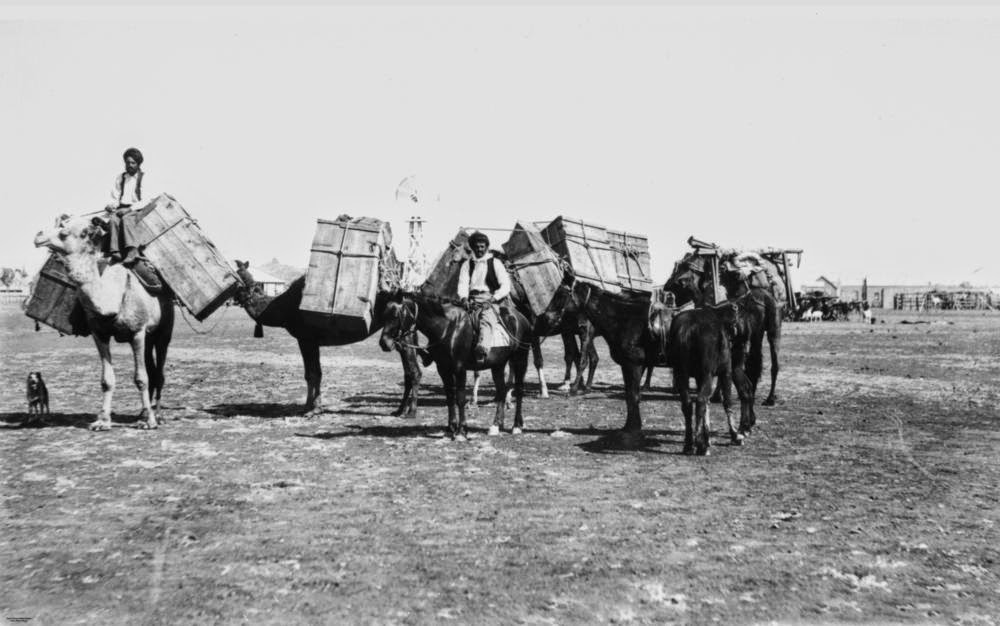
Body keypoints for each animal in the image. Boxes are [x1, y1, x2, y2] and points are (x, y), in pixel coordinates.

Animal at [32, 214, 174, 428]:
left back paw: (156, 415)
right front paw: (103, 420)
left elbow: (141, 378)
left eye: (70, 232)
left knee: (159, 373)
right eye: (61, 224)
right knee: (152, 367)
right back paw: (142, 412)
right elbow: (107, 380)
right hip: (149, 336)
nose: (39, 236)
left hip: (163, 331)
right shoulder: (100, 334)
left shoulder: (137, 332)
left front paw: (149, 422)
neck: (110, 298)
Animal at [235, 260, 422, 416]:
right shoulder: (312, 342)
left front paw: (311, 409)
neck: (281, 307)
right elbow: (315, 373)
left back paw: (410, 412)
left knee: (413, 371)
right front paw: (312, 407)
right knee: (411, 372)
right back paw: (401, 410)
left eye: (235, 277)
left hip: (401, 335)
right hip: (403, 336)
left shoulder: (306, 339)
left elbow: (312, 374)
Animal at [376, 292, 532, 438]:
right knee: (501, 390)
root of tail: (520, 318)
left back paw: (517, 426)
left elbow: (460, 398)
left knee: (519, 390)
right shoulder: (443, 369)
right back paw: (496, 425)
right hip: (498, 365)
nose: (384, 343)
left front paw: (461, 431)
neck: (449, 328)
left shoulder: (459, 368)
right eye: (384, 315)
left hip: (520, 359)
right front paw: (451, 428)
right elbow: (450, 397)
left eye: (396, 315)